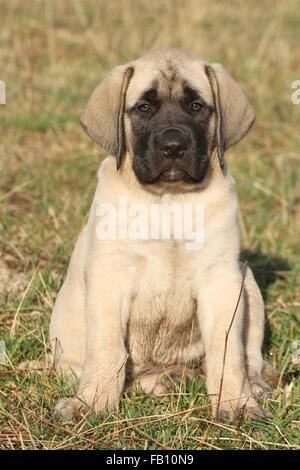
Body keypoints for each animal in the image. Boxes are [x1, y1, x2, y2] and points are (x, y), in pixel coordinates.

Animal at [50, 48, 276, 422]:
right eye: (144, 107)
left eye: (197, 106)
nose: (173, 146)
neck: (170, 201)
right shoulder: (109, 276)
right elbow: (107, 348)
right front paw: (93, 404)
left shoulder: (222, 279)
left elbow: (227, 351)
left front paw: (236, 403)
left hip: (249, 282)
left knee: (250, 358)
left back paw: (249, 385)